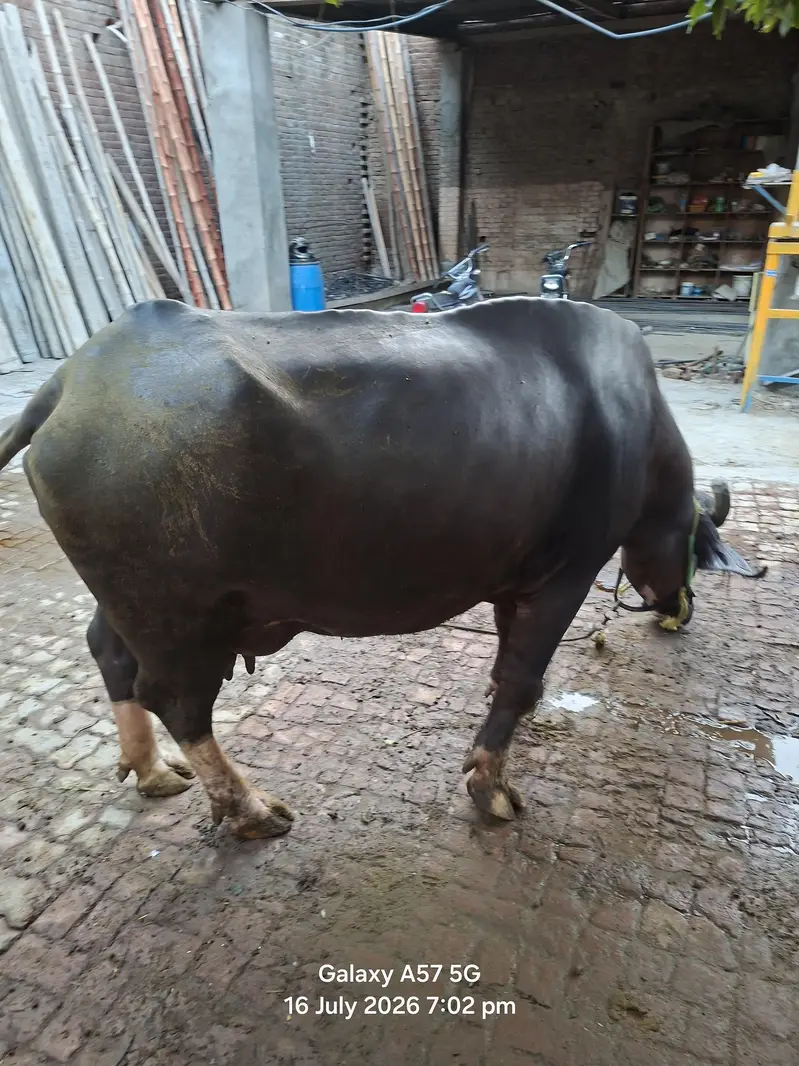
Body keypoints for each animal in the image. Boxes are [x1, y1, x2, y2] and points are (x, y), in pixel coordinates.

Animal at [0, 297, 764, 839]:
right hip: (178, 614)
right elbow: (522, 681)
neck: (635, 428)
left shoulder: (512, 580)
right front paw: (490, 787)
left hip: (133, 602)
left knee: (110, 652)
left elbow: (504, 675)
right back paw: (250, 809)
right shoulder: (565, 575)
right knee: (178, 699)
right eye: (696, 544)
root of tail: (72, 379)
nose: (678, 608)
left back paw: (153, 770)